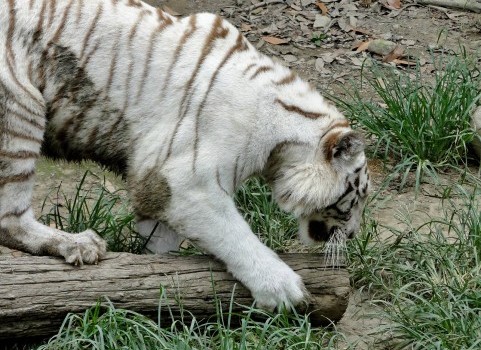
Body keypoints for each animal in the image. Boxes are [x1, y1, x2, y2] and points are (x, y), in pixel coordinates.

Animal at [0, 0, 368, 312]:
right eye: (355, 198)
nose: (352, 236)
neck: (283, 139)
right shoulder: (183, 183)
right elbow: (234, 234)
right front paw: (282, 289)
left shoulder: (155, 181)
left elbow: (161, 238)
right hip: (21, 107)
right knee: (9, 218)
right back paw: (78, 243)